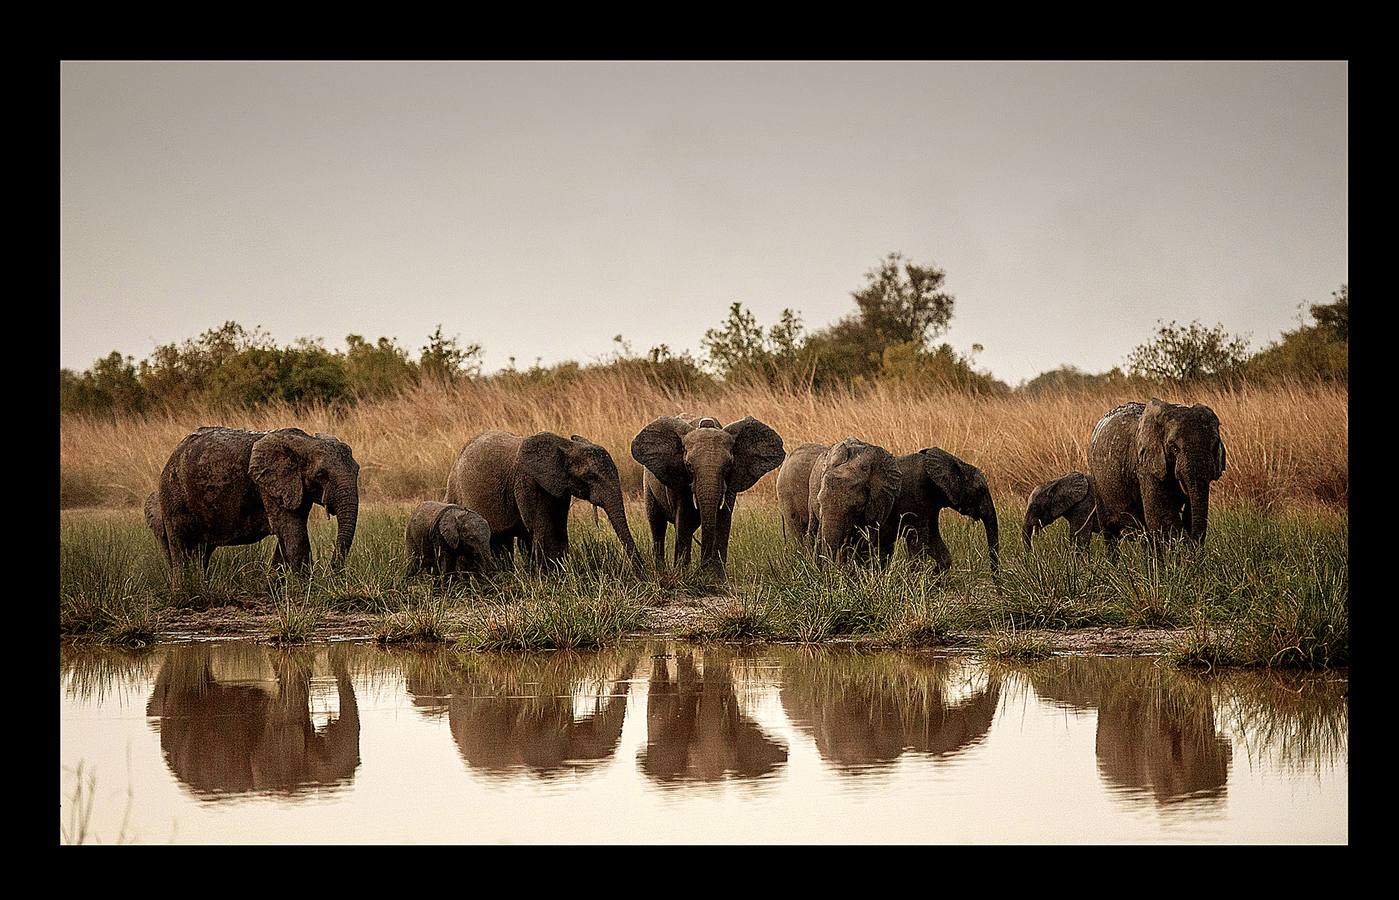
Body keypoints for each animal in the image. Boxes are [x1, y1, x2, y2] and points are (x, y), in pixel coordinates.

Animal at [153, 425, 360, 582]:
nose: (333, 573)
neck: (306, 442)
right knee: (180, 545)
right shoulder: (267, 485)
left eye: (356, 470)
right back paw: (184, 588)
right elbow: (293, 532)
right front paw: (308, 588)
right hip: (173, 494)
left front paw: (273, 586)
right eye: (321, 475)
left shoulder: (294, 488)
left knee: (202, 551)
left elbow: (287, 535)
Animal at [444, 431, 646, 571]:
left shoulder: (559, 488)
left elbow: (557, 528)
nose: (643, 577)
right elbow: (541, 528)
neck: (566, 445)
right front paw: (549, 579)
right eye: (590, 477)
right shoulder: (527, 481)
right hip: (455, 489)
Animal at [632, 417, 789, 573]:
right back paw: (662, 571)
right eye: (688, 466)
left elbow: (723, 522)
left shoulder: (731, 484)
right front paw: (685, 576)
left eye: (728, 466)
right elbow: (684, 521)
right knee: (657, 525)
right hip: (648, 486)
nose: (702, 569)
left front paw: (715, 578)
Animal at [1080, 400, 1225, 559]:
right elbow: (1161, 517)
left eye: (1214, 445)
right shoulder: (1145, 466)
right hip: (1097, 483)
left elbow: (1187, 515)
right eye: (1173, 448)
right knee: (1110, 533)